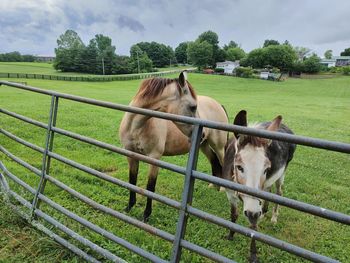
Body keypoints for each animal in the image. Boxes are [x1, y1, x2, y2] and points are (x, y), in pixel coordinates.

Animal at [119, 71, 228, 222]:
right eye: (193, 107)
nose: (201, 133)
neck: (136, 127)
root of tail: (218, 104)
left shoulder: (154, 158)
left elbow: (150, 187)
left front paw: (146, 215)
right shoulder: (130, 154)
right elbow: (132, 181)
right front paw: (129, 207)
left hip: (218, 146)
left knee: (222, 162)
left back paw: (223, 189)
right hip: (204, 146)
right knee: (214, 161)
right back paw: (212, 186)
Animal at [223, 110, 294, 262]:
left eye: (266, 169)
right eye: (239, 167)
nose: (252, 213)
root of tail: (285, 125)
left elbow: (253, 227)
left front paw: (253, 254)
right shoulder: (230, 194)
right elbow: (233, 215)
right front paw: (231, 235)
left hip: (282, 173)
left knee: (278, 193)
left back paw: (273, 217)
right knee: (268, 190)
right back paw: (265, 211)